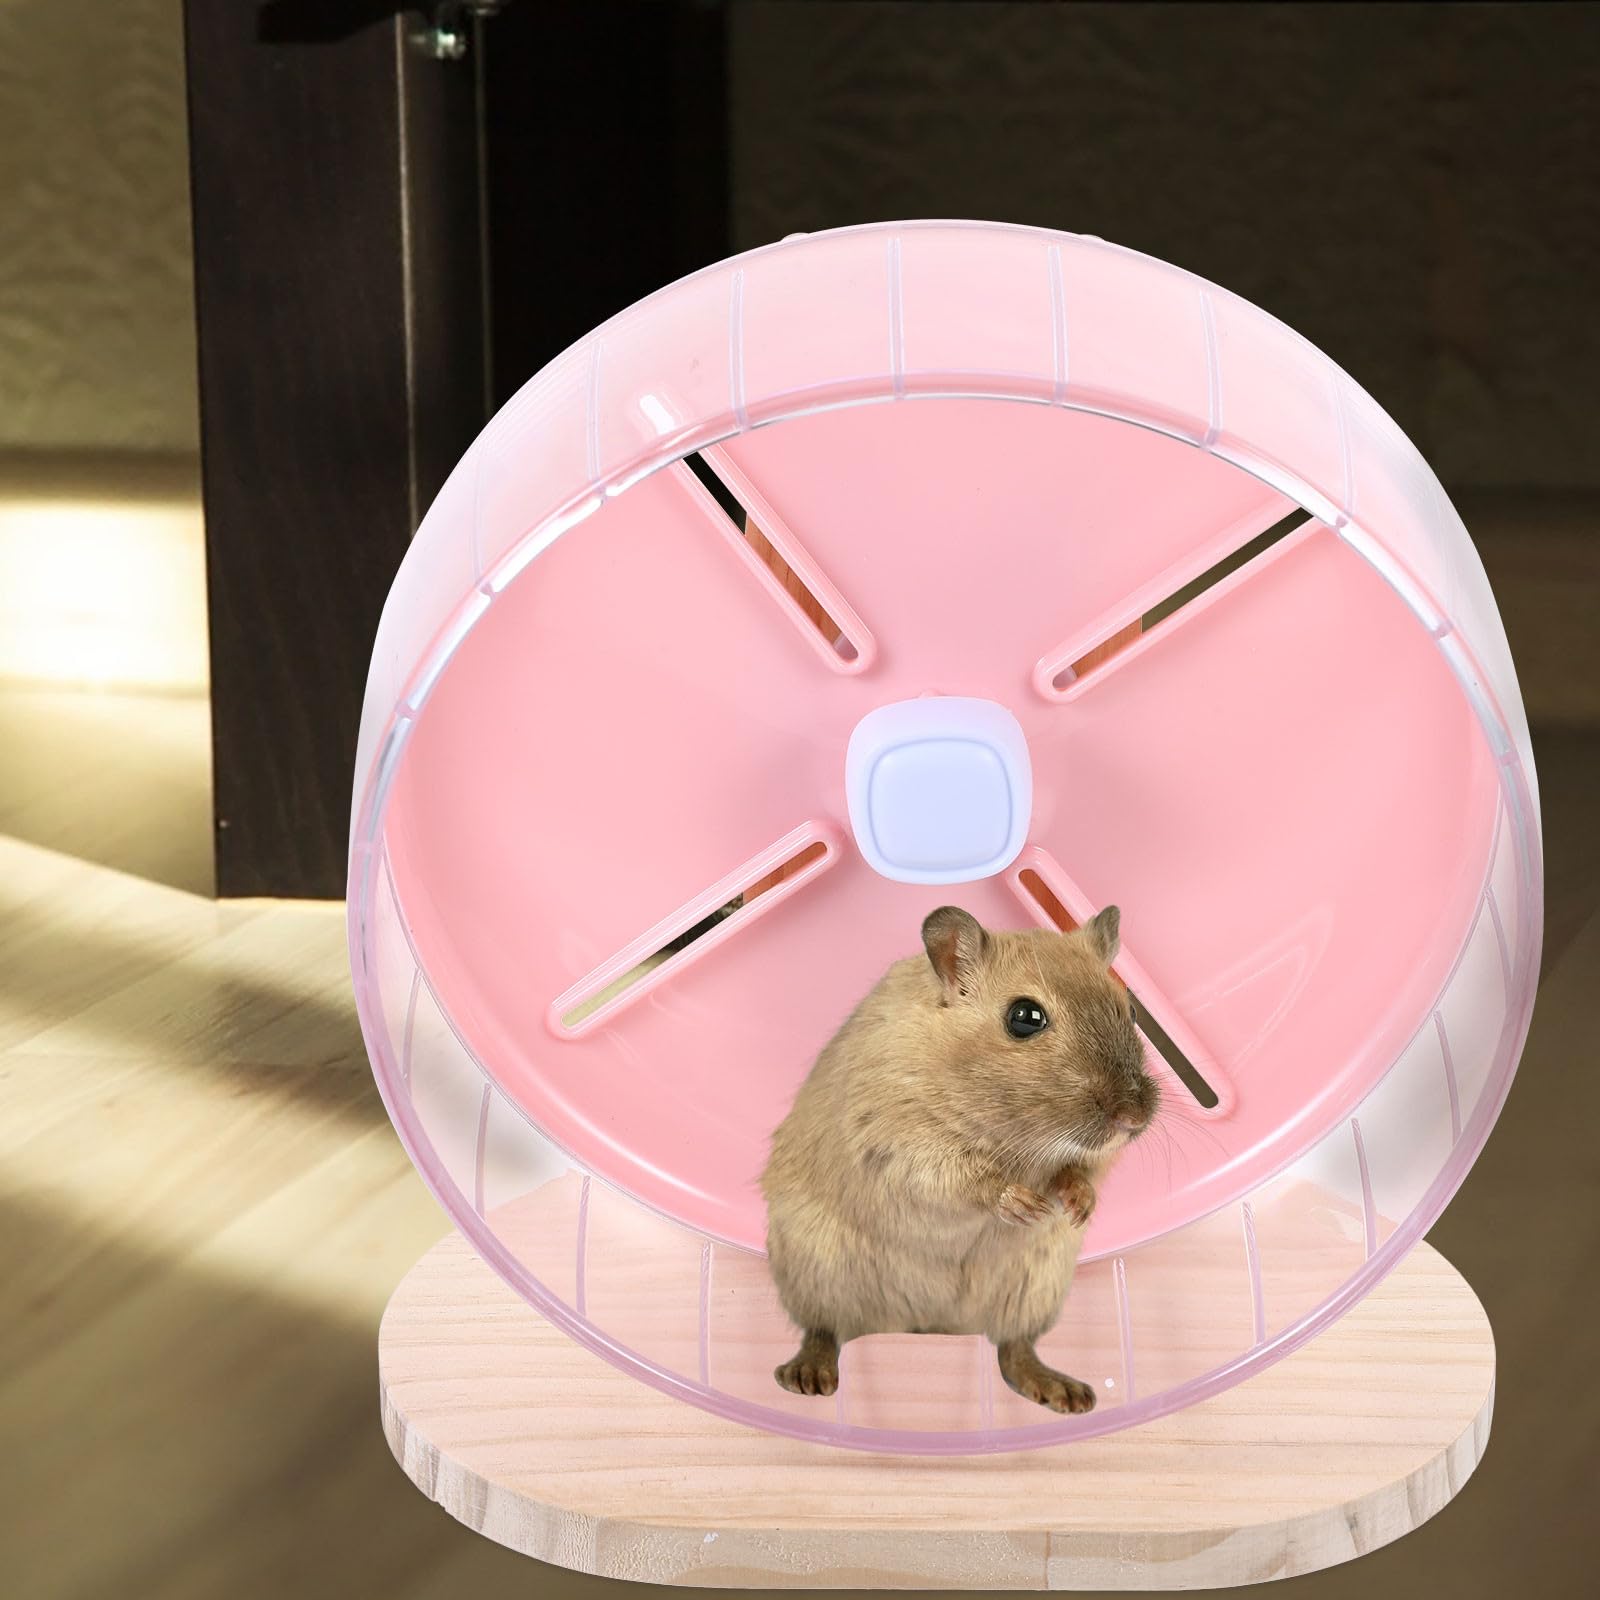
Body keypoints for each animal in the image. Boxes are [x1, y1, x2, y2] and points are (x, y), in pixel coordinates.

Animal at [760, 903, 1158, 1414]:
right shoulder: (900, 1141)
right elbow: (967, 1181)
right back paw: (806, 1377)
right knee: (824, 1331)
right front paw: (1025, 1205)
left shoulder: (1088, 1158)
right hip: (816, 1273)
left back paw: (1069, 1395)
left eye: (1131, 1010)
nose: (1133, 1118)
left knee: (1012, 1349)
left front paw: (1076, 1208)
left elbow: (1080, 1172)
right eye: (1024, 1017)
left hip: (1033, 1289)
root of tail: (929, 1325)